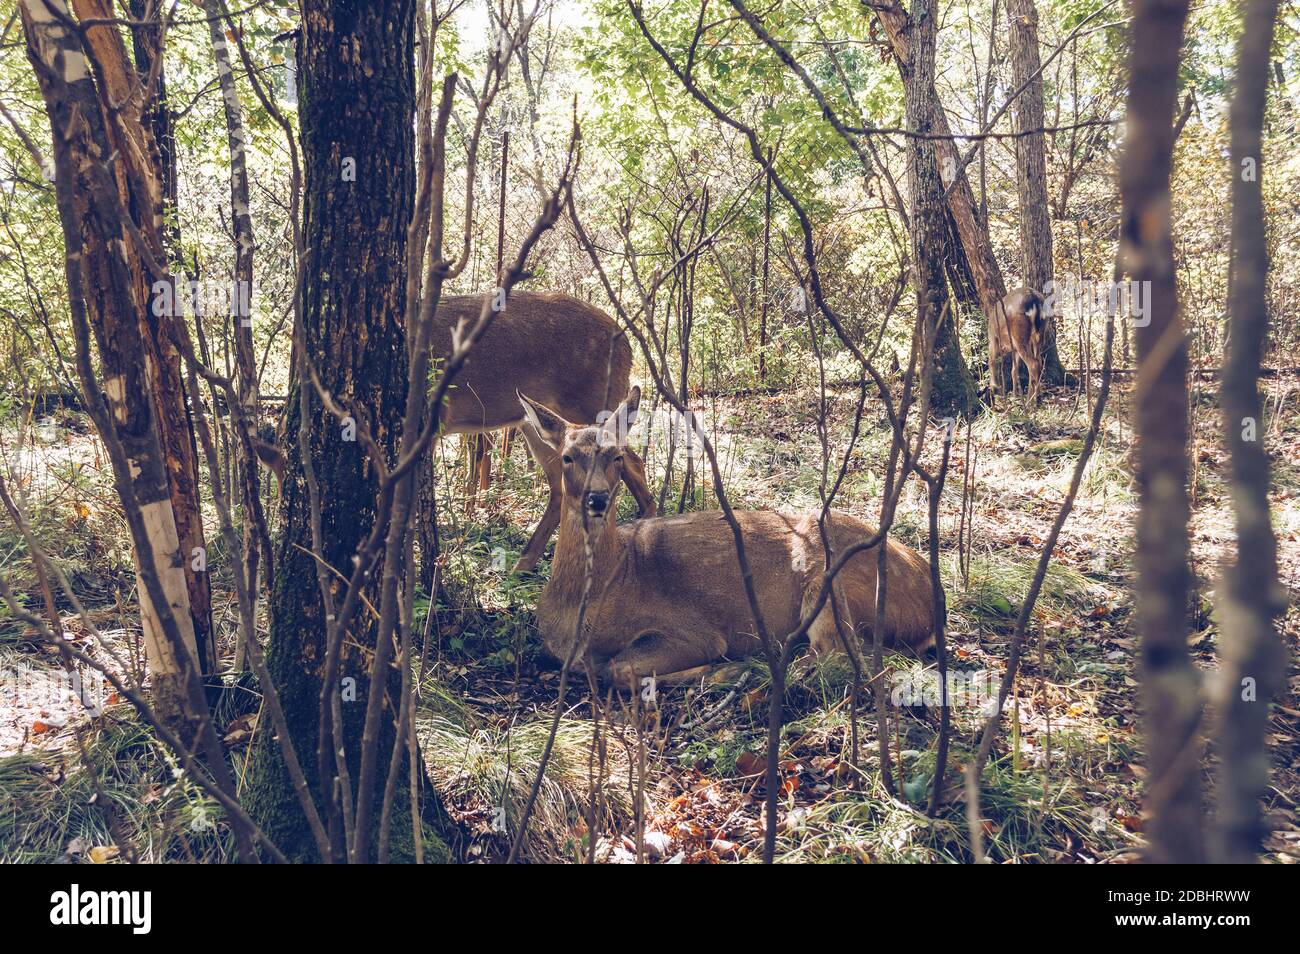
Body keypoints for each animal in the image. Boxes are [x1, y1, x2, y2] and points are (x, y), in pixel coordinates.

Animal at [257, 291, 655, 571]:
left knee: (631, 459)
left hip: (592, 399)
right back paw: (524, 563)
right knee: (560, 484)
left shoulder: (428, 424)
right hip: (533, 420)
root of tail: (627, 343)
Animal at [517, 387, 935, 686]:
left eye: (616, 456)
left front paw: (724, 667)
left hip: (830, 579)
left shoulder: (690, 631)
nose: (598, 498)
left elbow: (619, 668)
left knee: (835, 657)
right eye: (568, 457)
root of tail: (932, 601)